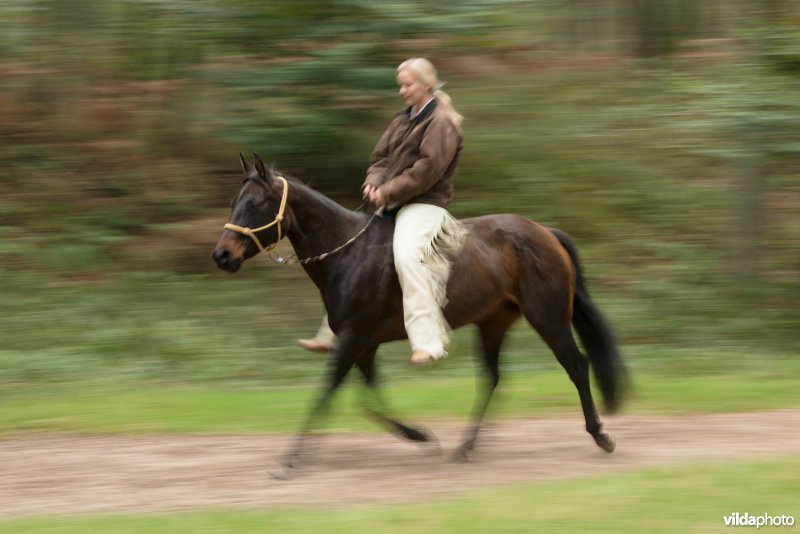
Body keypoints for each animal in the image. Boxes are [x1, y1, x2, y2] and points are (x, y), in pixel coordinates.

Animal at [212, 153, 628, 475]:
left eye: (256, 204)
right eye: (235, 201)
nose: (221, 255)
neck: (348, 253)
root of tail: (545, 232)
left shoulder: (355, 339)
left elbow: (327, 392)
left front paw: (290, 459)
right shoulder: (362, 344)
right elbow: (367, 398)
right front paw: (420, 435)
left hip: (549, 318)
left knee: (577, 365)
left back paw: (600, 435)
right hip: (493, 323)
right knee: (493, 377)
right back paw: (466, 446)